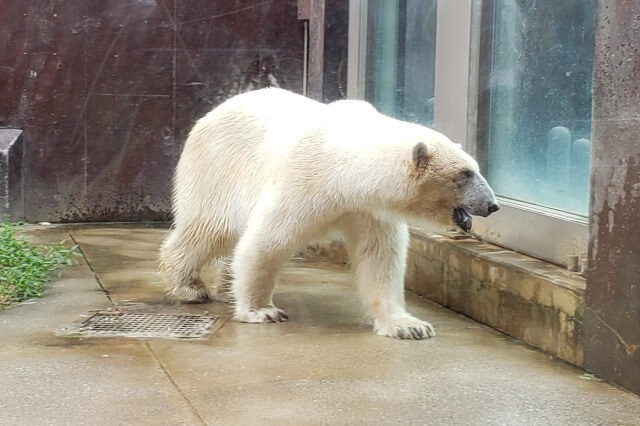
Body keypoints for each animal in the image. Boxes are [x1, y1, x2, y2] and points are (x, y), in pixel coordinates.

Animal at [160, 87, 500, 340]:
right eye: (464, 174)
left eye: (475, 169)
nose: (492, 205)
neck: (346, 171)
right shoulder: (304, 180)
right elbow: (267, 241)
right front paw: (262, 311)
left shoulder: (369, 209)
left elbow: (380, 257)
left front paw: (408, 325)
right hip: (216, 173)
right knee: (207, 229)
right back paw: (190, 287)